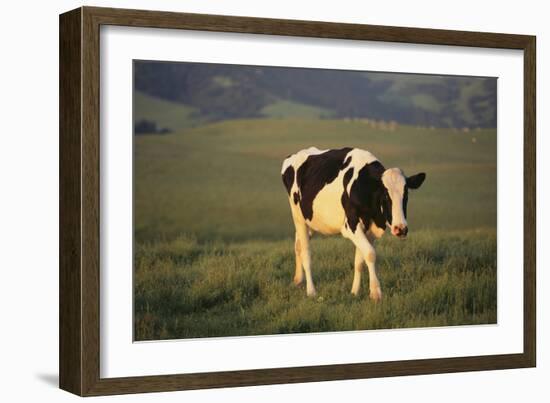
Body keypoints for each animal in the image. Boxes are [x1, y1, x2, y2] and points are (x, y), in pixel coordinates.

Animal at [282, 147, 430, 302]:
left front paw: (354, 292)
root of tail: (294, 155)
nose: (400, 229)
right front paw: (375, 293)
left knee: (297, 245)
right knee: (305, 252)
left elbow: (360, 261)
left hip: (309, 222)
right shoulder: (351, 225)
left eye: (406, 195)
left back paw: (298, 280)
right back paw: (311, 291)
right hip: (298, 217)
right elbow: (370, 254)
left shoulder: (370, 230)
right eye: (385, 195)